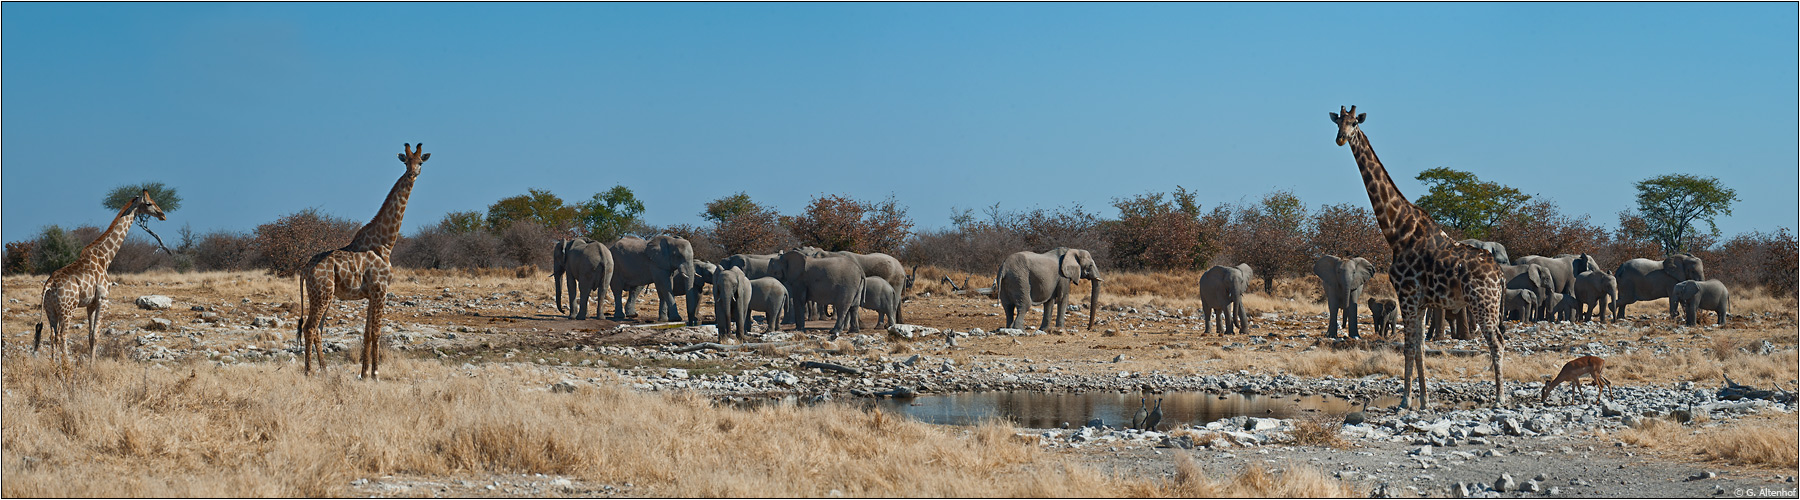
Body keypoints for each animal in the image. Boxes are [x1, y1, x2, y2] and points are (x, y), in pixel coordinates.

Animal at [36, 189, 169, 372]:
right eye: (148, 203)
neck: (105, 258)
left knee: (52, 335)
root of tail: (49, 285)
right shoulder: (103, 299)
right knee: (62, 335)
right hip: (67, 308)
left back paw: (55, 367)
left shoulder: (91, 304)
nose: (163, 215)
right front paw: (92, 367)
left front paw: (90, 364)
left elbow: (90, 336)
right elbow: (97, 335)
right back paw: (67, 366)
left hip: (51, 309)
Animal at [302, 143, 432, 379]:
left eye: (420, 162)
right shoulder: (381, 289)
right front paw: (376, 374)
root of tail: (305, 269)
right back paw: (308, 372)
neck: (385, 244)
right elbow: (377, 331)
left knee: (318, 329)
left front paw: (364, 374)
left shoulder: (372, 293)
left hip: (322, 295)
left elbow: (367, 332)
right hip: (322, 294)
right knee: (309, 327)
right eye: (406, 162)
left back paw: (325, 370)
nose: (412, 173)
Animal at [1332, 107, 1512, 408]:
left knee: (1496, 341)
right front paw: (1425, 400)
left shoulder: (1406, 294)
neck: (1397, 231)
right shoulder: (1421, 300)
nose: (1341, 138)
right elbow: (1420, 347)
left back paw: (1499, 397)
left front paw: (1405, 400)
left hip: (1483, 302)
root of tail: (1500, 276)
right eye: (1338, 122)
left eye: (1355, 123)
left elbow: (1407, 346)